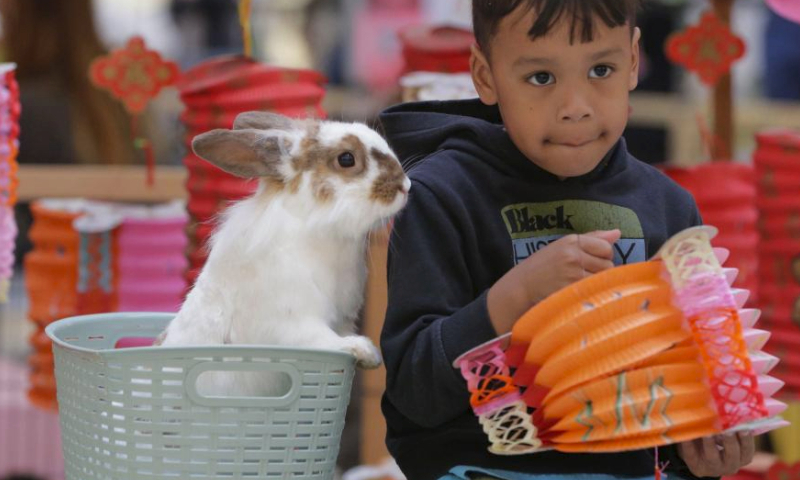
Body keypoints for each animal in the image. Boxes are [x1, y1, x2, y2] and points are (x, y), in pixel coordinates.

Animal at [156, 111, 410, 398]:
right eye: (347, 159)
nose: (405, 186)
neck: (318, 228)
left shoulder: (342, 318)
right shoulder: (294, 322)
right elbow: (325, 340)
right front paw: (365, 351)